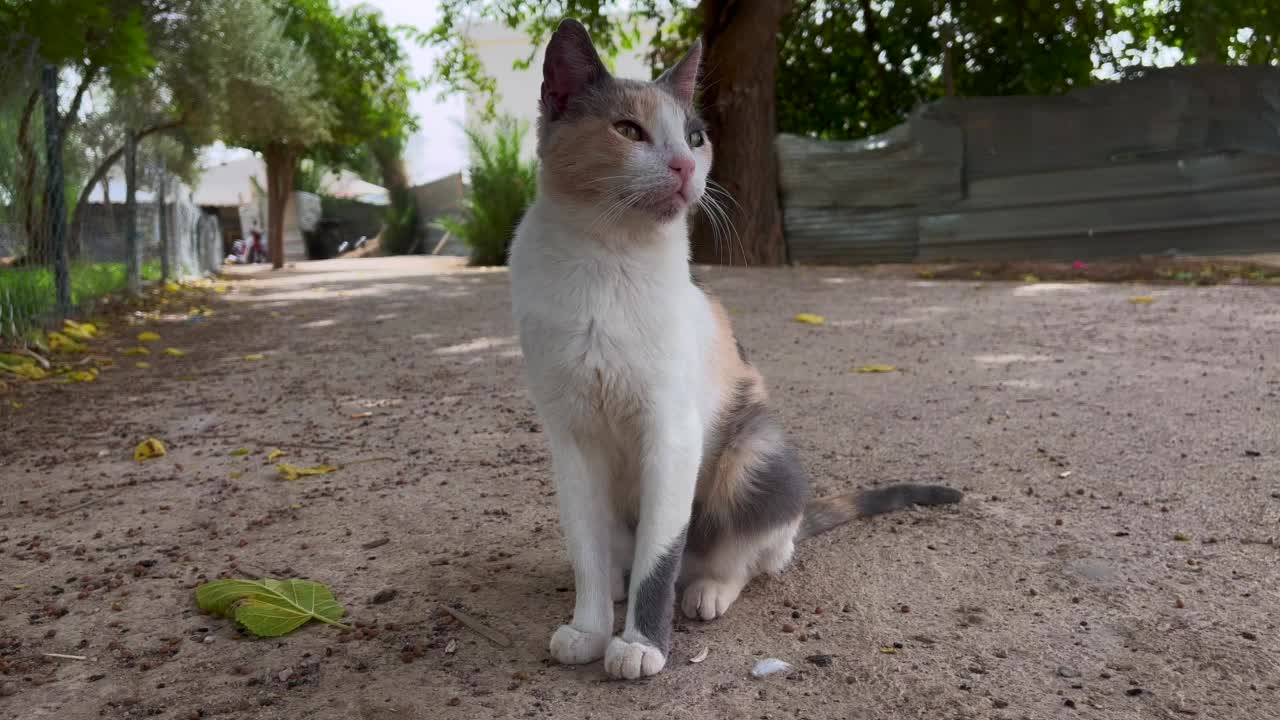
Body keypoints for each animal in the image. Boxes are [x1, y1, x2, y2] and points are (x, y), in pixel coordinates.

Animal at [509, 18, 962, 676]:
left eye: (696, 137)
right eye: (628, 130)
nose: (683, 165)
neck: (605, 262)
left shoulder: (673, 433)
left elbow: (660, 557)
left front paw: (641, 644)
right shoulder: (570, 437)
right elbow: (584, 550)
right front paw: (589, 628)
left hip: (753, 452)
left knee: (751, 553)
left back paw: (707, 589)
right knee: (624, 554)